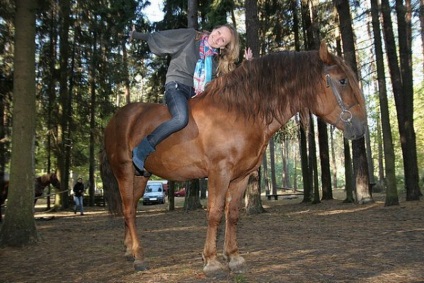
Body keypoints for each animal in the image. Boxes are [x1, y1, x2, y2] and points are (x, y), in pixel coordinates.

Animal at [101, 42, 366, 278]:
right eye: (342, 80)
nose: (361, 128)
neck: (238, 111)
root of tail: (117, 119)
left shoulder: (242, 176)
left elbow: (234, 214)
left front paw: (234, 258)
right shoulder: (219, 172)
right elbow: (215, 213)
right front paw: (211, 262)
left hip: (141, 176)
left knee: (132, 209)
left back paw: (129, 251)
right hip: (124, 172)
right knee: (128, 210)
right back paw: (139, 257)